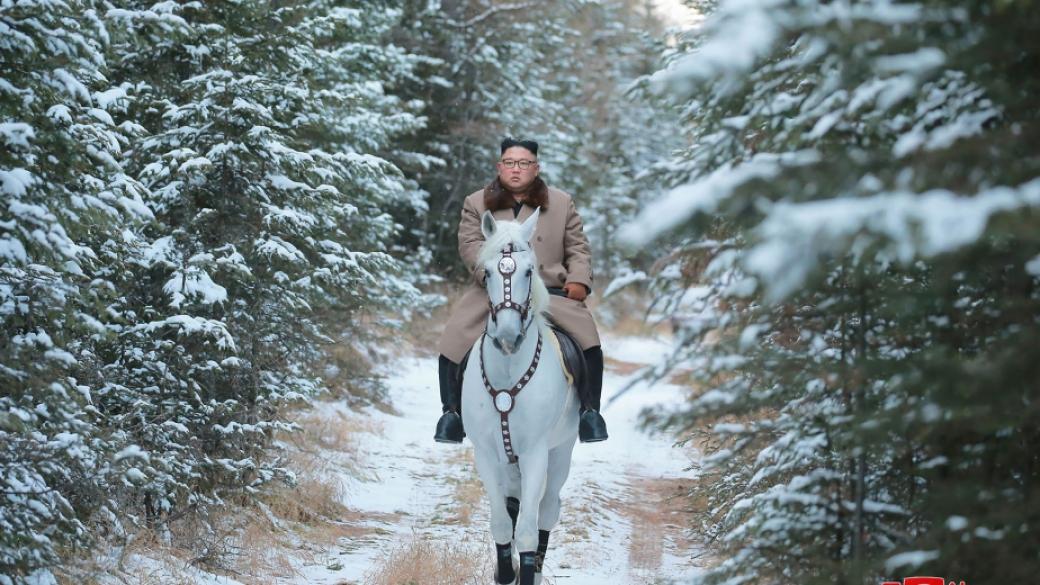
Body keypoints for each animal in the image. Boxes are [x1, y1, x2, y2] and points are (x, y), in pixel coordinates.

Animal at [461, 208, 582, 582]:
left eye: (529, 271)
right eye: (486, 272)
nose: (507, 336)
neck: (508, 370)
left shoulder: (535, 454)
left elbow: (528, 529)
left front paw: (525, 572)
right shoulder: (486, 454)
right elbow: (503, 522)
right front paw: (504, 572)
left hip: (561, 453)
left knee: (547, 510)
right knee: (513, 504)